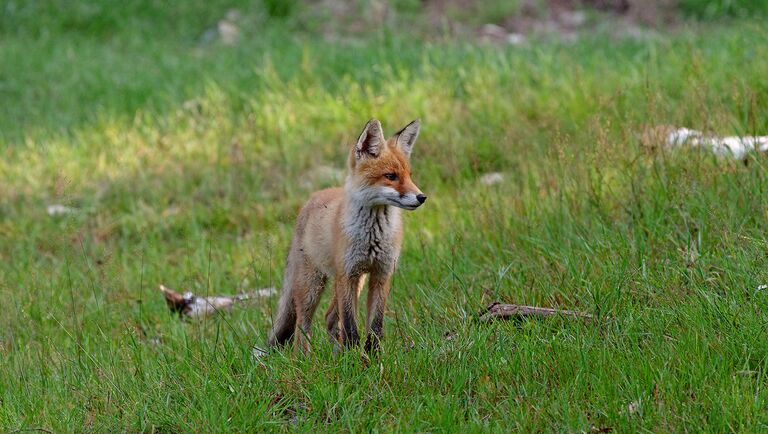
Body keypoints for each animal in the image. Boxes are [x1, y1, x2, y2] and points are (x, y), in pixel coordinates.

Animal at [268, 118, 426, 352]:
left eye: (410, 176)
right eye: (391, 176)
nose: (422, 197)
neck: (373, 236)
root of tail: (311, 199)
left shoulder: (381, 274)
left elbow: (375, 327)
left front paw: (372, 356)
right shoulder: (348, 274)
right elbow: (351, 327)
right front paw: (353, 357)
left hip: (354, 281)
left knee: (330, 317)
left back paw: (336, 355)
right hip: (313, 284)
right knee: (302, 326)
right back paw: (304, 358)